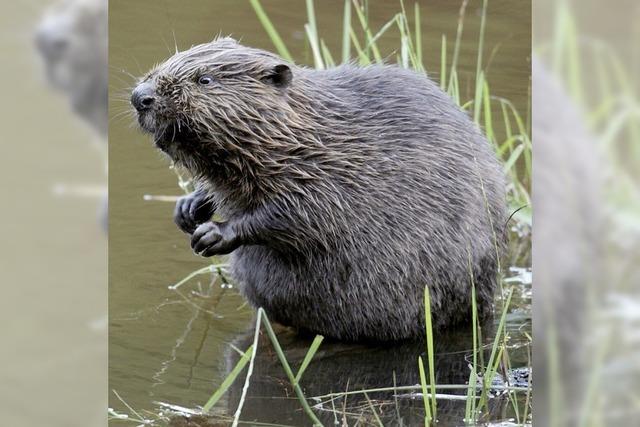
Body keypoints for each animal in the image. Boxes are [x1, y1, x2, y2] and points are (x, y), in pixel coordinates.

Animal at [132, 37, 508, 344]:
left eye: (205, 80)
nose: (140, 97)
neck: (304, 131)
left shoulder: (328, 173)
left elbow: (301, 216)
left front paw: (212, 234)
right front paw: (188, 208)